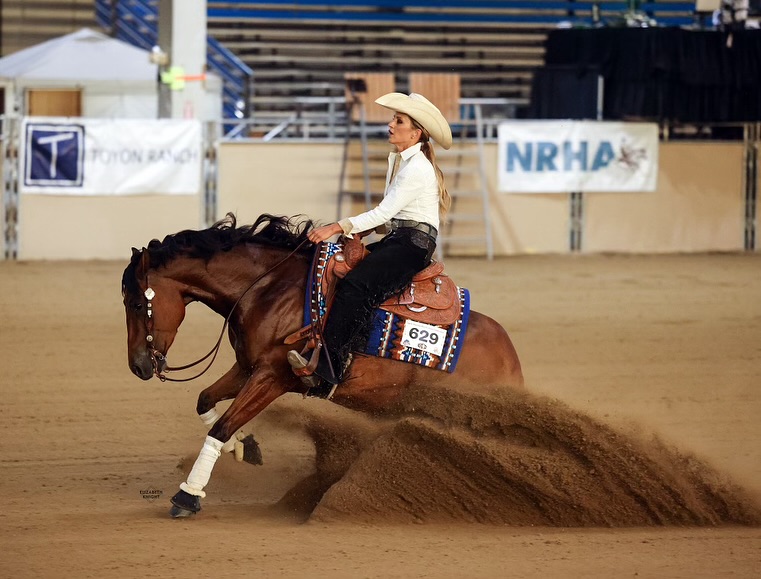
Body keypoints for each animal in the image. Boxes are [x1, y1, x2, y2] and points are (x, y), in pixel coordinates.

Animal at [122, 213, 523, 517]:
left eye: (137, 303)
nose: (138, 366)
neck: (268, 288)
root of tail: (509, 357)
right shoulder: (246, 367)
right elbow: (205, 400)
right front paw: (244, 448)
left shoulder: (272, 376)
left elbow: (221, 426)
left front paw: (187, 495)